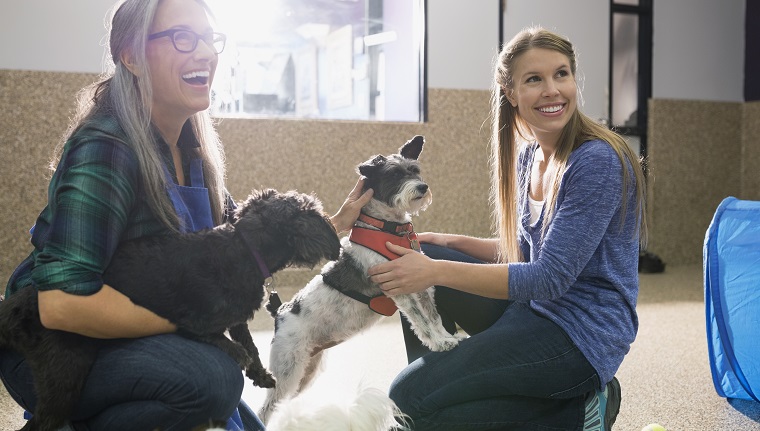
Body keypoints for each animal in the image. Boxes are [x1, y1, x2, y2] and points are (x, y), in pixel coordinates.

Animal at [0, 189, 340, 431]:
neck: (244, 248)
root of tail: (16, 307)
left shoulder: (236, 319)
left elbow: (250, 345)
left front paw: (261, 374)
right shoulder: (195, 323)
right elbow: (236, 348)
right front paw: (242, 360)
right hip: (65, 371)